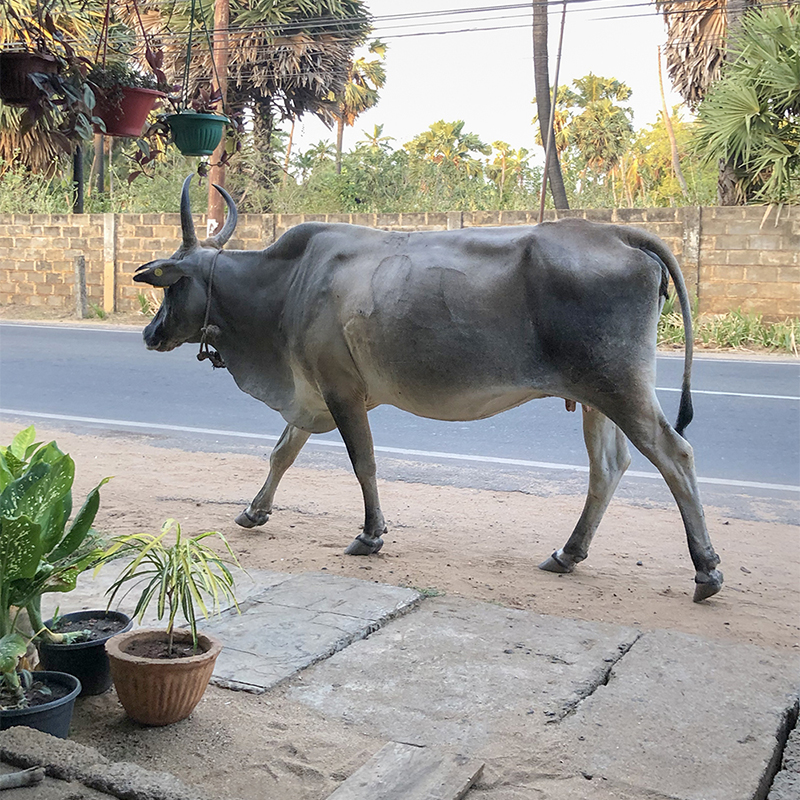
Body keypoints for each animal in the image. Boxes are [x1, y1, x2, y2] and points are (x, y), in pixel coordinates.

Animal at [136, 175, 724, 600]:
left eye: (173, 286)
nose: (149, 334)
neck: (285, 285)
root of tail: (620, 233)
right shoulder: (314, 392)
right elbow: (283, 452)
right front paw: (254, 511)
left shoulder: (340, 389)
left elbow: (363, 462)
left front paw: (370, 534)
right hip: (595, 398)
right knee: (608, 468)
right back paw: (568, 553)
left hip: (621, 388)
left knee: (676, 454)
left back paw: (706, 570)